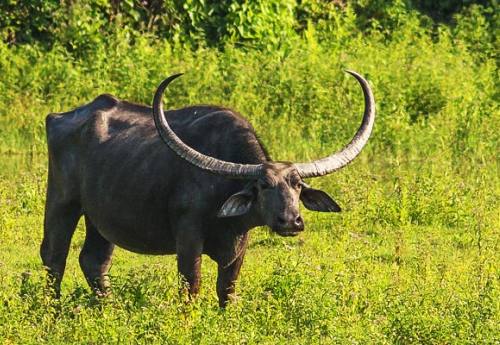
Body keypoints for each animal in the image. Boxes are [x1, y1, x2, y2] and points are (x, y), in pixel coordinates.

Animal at [41, 70, 374, 306]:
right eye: (264, 185)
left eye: (297, 186)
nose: (291, 221)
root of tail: (59, 117)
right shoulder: (188, 237)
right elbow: (192, 287)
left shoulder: (240, 243)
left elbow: (227, 289)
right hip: (62, 201)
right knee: (54, 257)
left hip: (100, 218)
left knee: (94, 261)